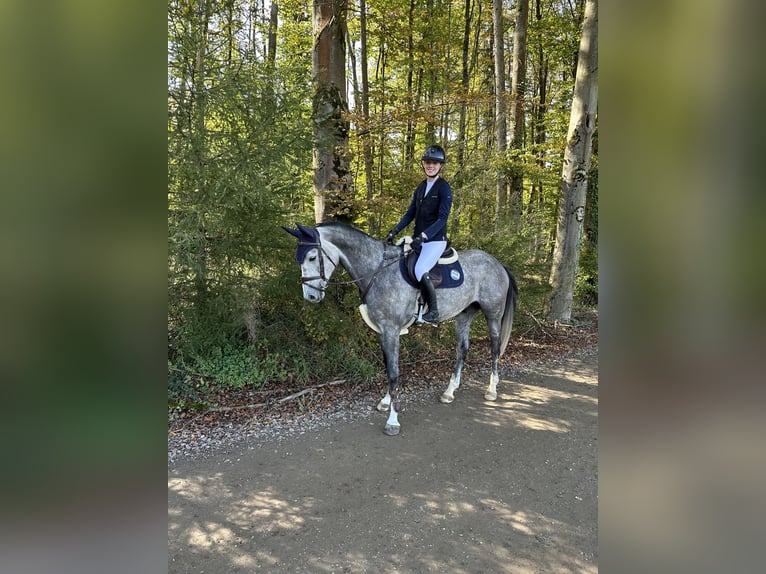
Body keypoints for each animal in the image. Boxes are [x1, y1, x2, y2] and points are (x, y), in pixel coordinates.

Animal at [284, 223, 520, 438]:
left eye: (312, 257)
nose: (310, 297)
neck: (377, 271)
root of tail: (498, 263)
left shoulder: (391, 329)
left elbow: (394, 372)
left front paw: (393, 420)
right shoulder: (381, 331)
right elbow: (387, 367)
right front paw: (386, 401)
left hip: (493, 314)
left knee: (494, 348)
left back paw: (491, 389)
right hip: (464, 314)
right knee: (462, 349)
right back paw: (449, 391)